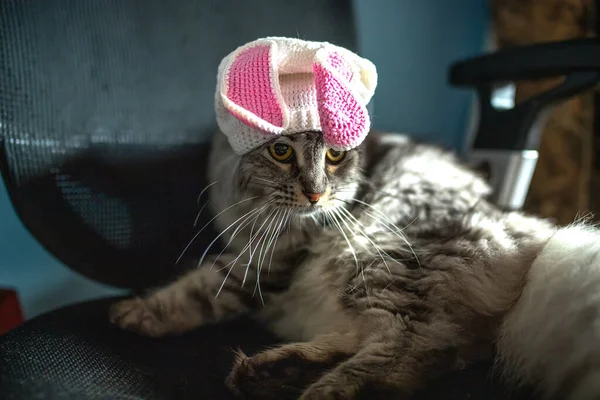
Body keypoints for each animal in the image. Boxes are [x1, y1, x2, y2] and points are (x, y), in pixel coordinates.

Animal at [110, 130, 600, 398]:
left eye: (334, 156)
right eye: (281, 152)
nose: (315, 194)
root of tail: (532, 232)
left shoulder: (266, 259)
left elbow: (197, 292)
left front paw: (137, 313)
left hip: (382, 261)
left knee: (411, 348)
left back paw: (320, 390)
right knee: (421, 348)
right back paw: (274, 373)